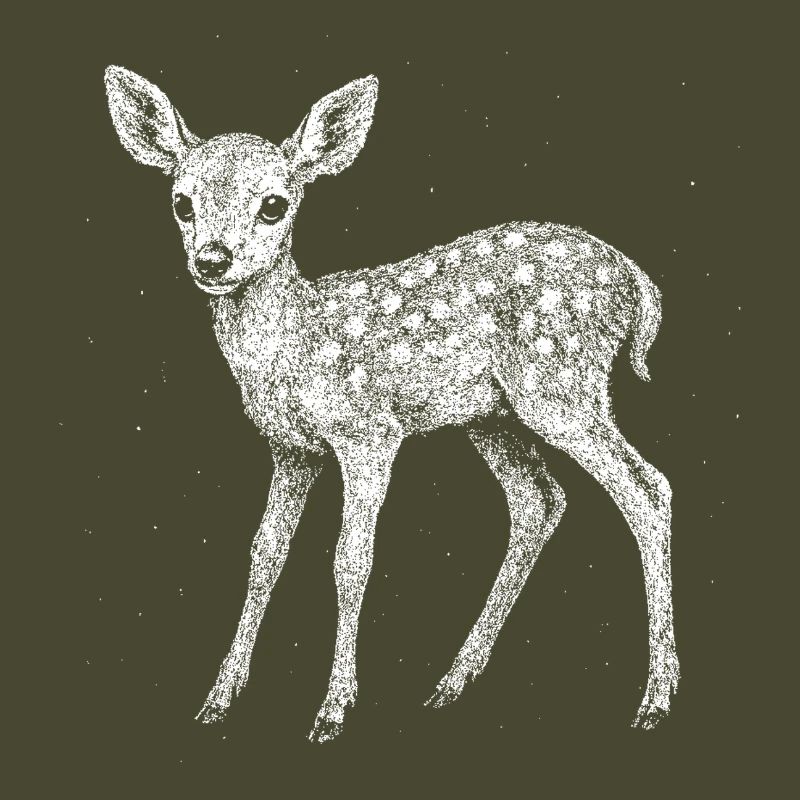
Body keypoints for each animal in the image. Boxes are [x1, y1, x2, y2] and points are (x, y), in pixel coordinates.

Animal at [104, 65, 679, 741]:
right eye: (181, 202)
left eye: (274, 204)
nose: (213, 260)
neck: (296, 344)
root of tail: (639, 284)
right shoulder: (291, 449)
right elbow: (264, 553)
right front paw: (220, 697)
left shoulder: (369, 433)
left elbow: (350, 560)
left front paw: (333, 708)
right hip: (494, 415)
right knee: (540, 501)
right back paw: (453, 681)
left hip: (561, 383)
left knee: (646, 487)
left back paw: (656, 698)